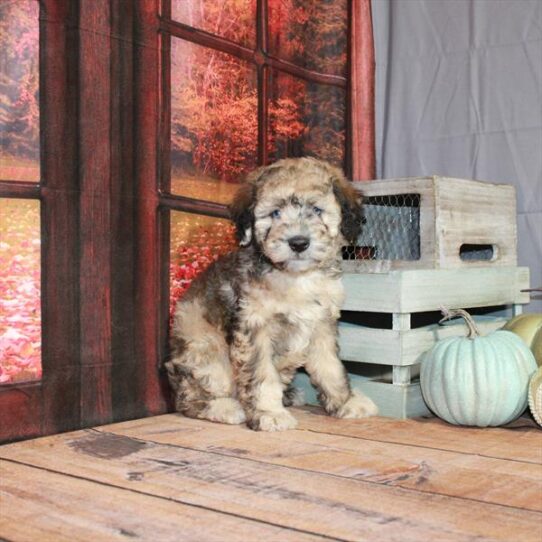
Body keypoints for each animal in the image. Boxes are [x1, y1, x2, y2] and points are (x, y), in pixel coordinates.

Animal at [166, 157, 378, 434]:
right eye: (275, 213)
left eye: (316, 210)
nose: (298, 242)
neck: (296, 277)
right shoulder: (254, 328)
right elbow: (262, 375)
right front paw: (269, 413)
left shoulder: (322, 324)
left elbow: (331, 366)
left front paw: (346, 401)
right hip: (205, 352)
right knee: (189, 399)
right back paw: (225, 408)